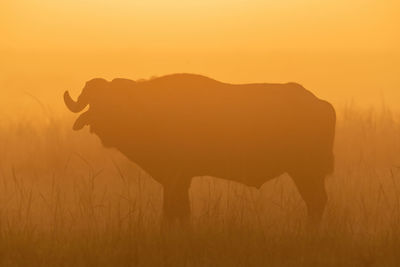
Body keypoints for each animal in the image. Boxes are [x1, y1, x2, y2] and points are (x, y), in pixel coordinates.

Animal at [64, 74, 336, 227]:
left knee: (316, 202)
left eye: (119, 101)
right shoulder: (178, 180)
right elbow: (180, 210)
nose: (104, 123)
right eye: (95, 101)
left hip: (305, 170)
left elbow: (173, 211)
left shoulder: (176, 177)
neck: (152, 114)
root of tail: (322, 104)